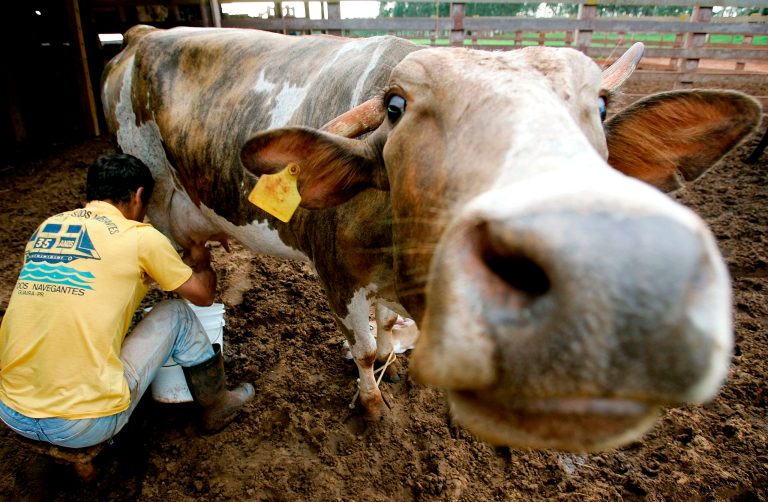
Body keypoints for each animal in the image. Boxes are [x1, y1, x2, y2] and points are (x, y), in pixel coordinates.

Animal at [101, 25, 761, 452]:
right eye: (395, 106)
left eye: (601, 105)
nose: (602, 265)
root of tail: (141, 35)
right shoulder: (336, 275)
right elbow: (367, 350)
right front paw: (372, 404)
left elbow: (389, 336)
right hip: (154, 204)